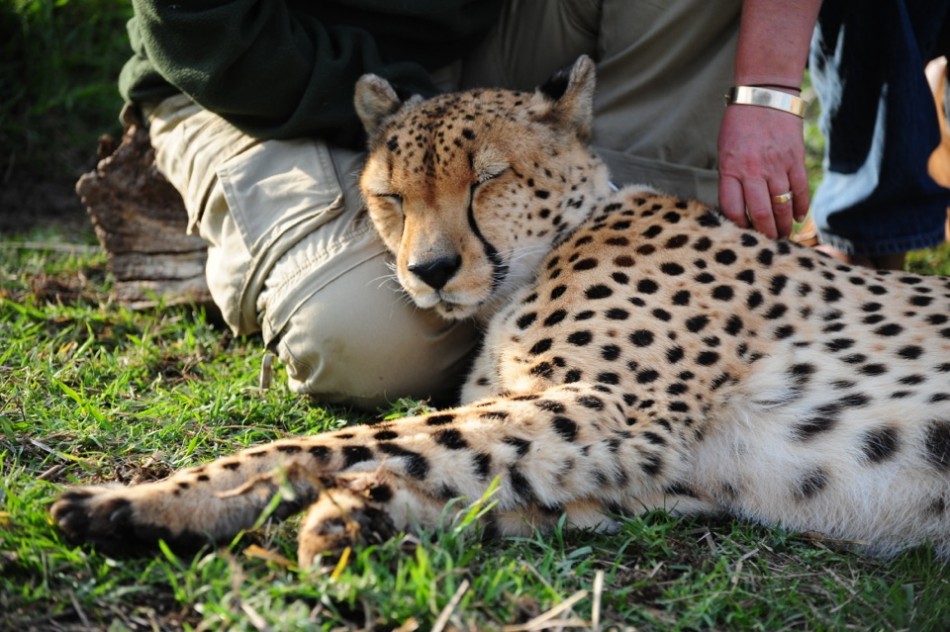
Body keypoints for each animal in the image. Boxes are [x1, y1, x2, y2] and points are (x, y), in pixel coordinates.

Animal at [52, 56, 950, 566]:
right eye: (390, 195)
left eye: (487, 179)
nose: (430, 271)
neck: (549, 248)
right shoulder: (662, 470)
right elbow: (477, 479)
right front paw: (360, 515)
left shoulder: (612, 411)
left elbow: (345, 441)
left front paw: (136, 502)